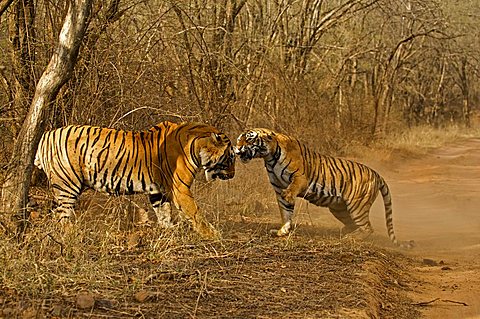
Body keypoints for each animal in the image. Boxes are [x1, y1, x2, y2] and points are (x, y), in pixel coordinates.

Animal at [236, 129, 412, 249]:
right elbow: (285, 212)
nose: (236, 149)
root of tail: (377, 174)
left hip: (358, 206)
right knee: (354, 224)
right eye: (239, 140)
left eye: (249, 139)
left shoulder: (300, 178)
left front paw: (288, 197)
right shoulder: (278, 188)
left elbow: (291, 191)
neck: (270, 157)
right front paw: (282, 231)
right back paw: (343, 232)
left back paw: (351, 238)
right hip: (339, 208)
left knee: (368, 228)